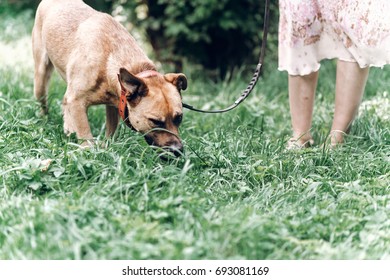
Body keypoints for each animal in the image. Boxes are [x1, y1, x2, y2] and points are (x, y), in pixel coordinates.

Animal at [32, 0, 187, 156]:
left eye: (179, 118)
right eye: (155, 121)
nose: (178, 150)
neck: (109, 59)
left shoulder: (115, 105)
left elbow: (111, 132)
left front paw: (108, 147)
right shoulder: (77, 102)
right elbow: (85, 134)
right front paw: (89, 151)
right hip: (41, 82)